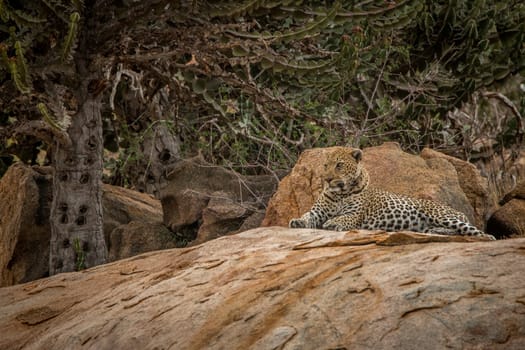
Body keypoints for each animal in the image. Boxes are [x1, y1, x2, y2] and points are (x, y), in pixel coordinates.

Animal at [286, 146, 496, 241]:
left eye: (339, 165)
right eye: (325, 165)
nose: (327, 179)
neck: (340, 193)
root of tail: (457, 211)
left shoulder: (353, 215)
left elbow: (342, 218)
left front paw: (332, 223)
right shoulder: (317, 212)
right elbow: (307, 216)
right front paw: (297, 221)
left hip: (440, 214)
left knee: (473, 230)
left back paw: (487, 238)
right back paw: (435, 231)